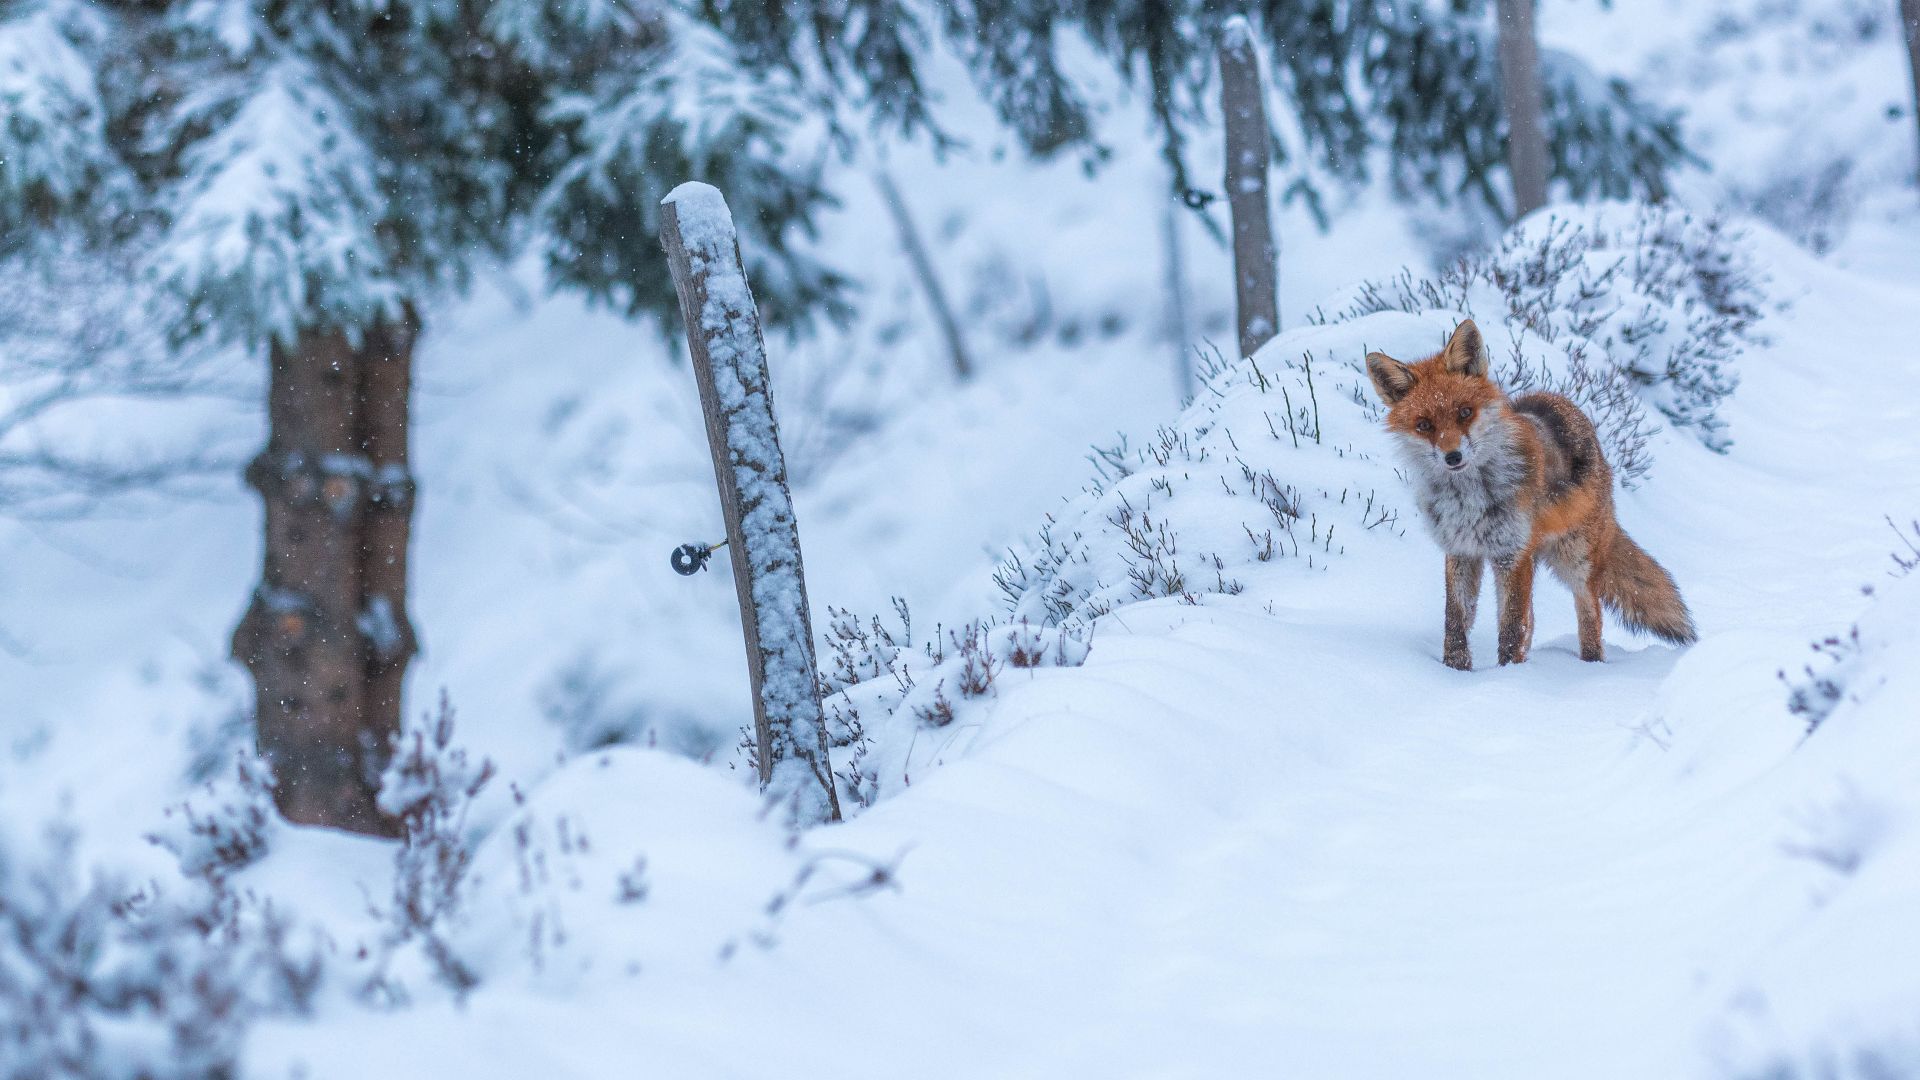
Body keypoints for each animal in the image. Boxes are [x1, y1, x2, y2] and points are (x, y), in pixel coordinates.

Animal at [1364, 319, 1696, 670]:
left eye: (1465, 412)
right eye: (1424, 425)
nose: (1452, 457)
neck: (1468, 499)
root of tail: (1563, 403)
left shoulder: (1512, 553)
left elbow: (1511, 628)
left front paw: (1508, 675)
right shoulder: (1461, 551)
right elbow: (1455, 622)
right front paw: (1455, 669)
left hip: (1575, 560)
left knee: (1589, 614)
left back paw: (1590, 666)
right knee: (1534, 620)